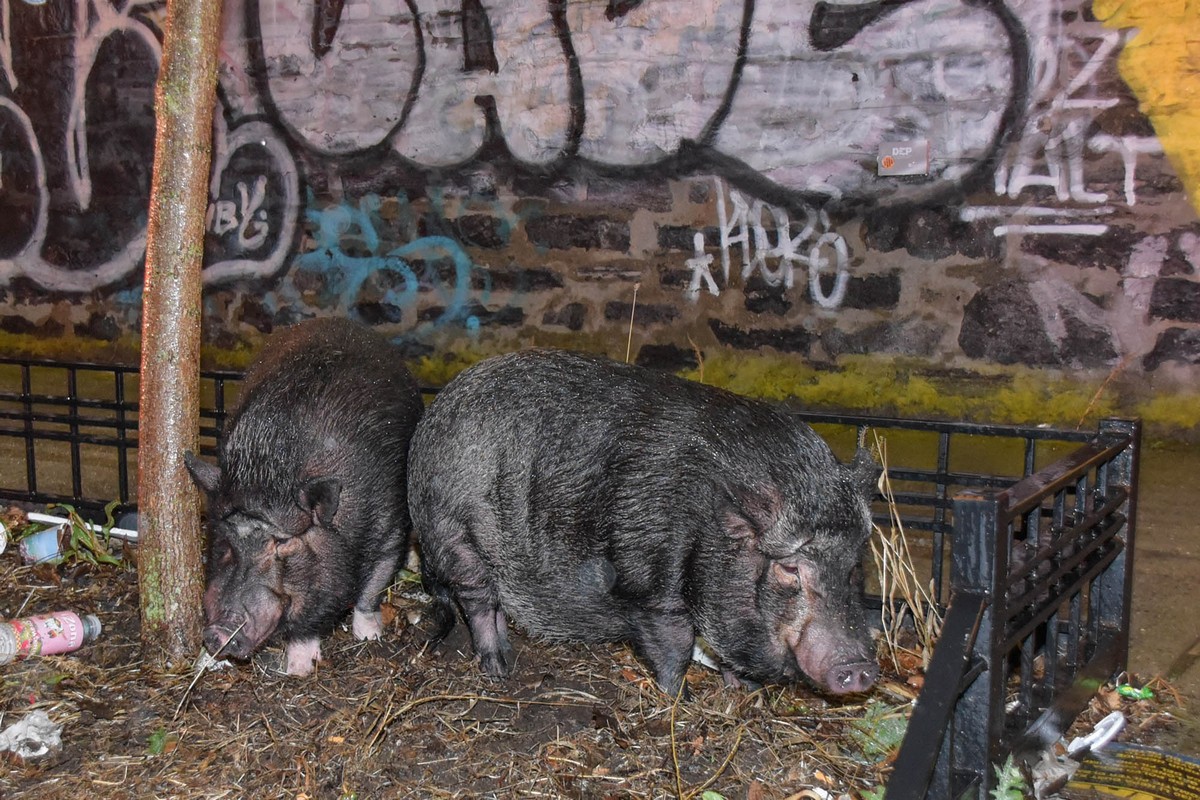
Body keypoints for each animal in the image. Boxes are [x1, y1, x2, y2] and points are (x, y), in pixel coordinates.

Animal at [184, 319, 424, 676]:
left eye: (282, 543)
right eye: (225, 539)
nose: (218, 633)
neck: (269, 469)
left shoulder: (390, 523)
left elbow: (372, 583)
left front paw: (315, 662)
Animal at [412, 347, 883, 695]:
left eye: (853, 566)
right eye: (790, 570)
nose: (861, 668)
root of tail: (433, 418)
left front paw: (745, 691)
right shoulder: (652, 587)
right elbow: (675, 643)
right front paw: (682, 699)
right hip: (456, 536)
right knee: (479, 601)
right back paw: (498, 668)